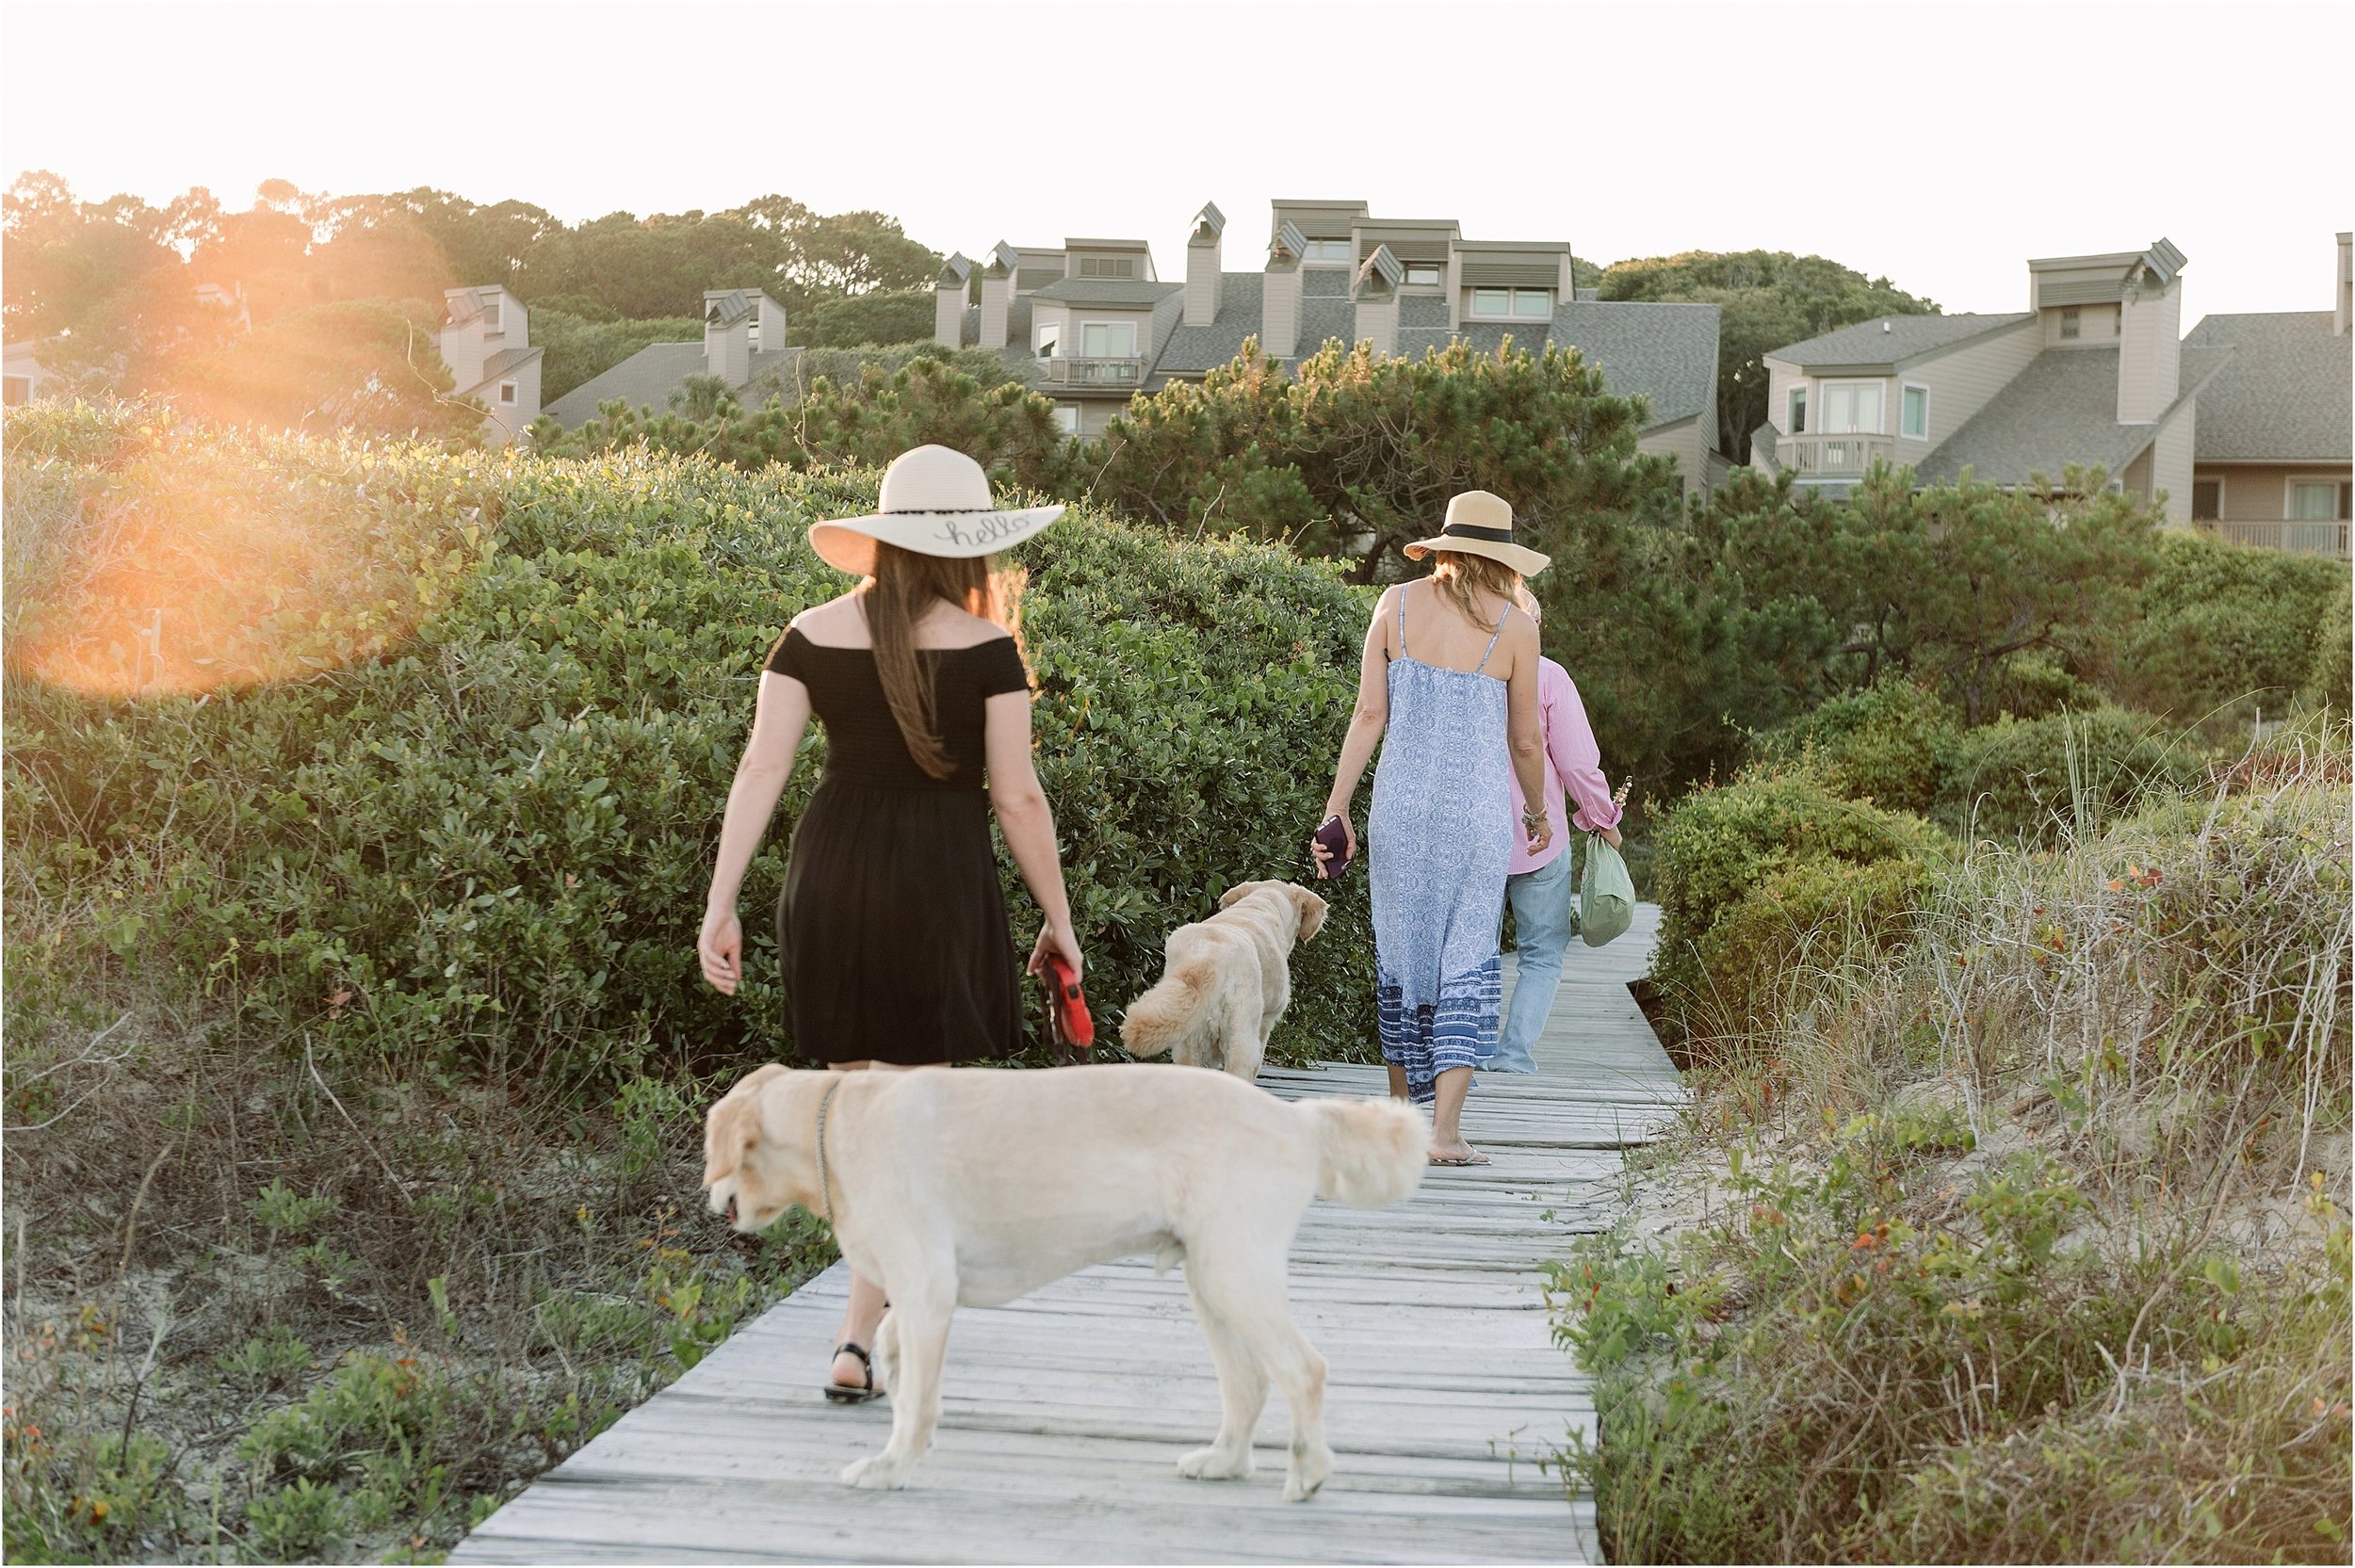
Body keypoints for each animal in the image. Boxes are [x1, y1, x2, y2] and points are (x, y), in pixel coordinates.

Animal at [697, 1055, 1422, 1497]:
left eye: (712, 1148)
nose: (708, 1198)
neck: (837, 1123)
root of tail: (1296, 1116)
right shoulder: (912, 1295)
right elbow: (897, 1360)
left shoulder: (928, 1289)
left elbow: (918, 1399)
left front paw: (891, 1465)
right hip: (1212, 1280)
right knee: (1247, 1383)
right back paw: (1222, 1461)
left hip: (1234, 1272)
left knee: (1303, 1369)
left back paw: (1306, 1474)